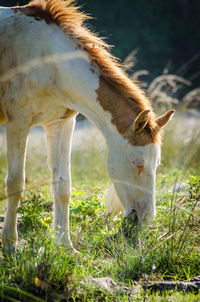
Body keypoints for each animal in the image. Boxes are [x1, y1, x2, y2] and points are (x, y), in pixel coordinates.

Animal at [0, 0, 174, 251]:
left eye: (158, 163)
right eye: (137, 163)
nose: (145, 218)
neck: (48, 60)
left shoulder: (61, 123)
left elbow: (63, 185)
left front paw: (65, 245)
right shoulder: (19, 121)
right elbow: (15, 183)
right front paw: (10, 245)